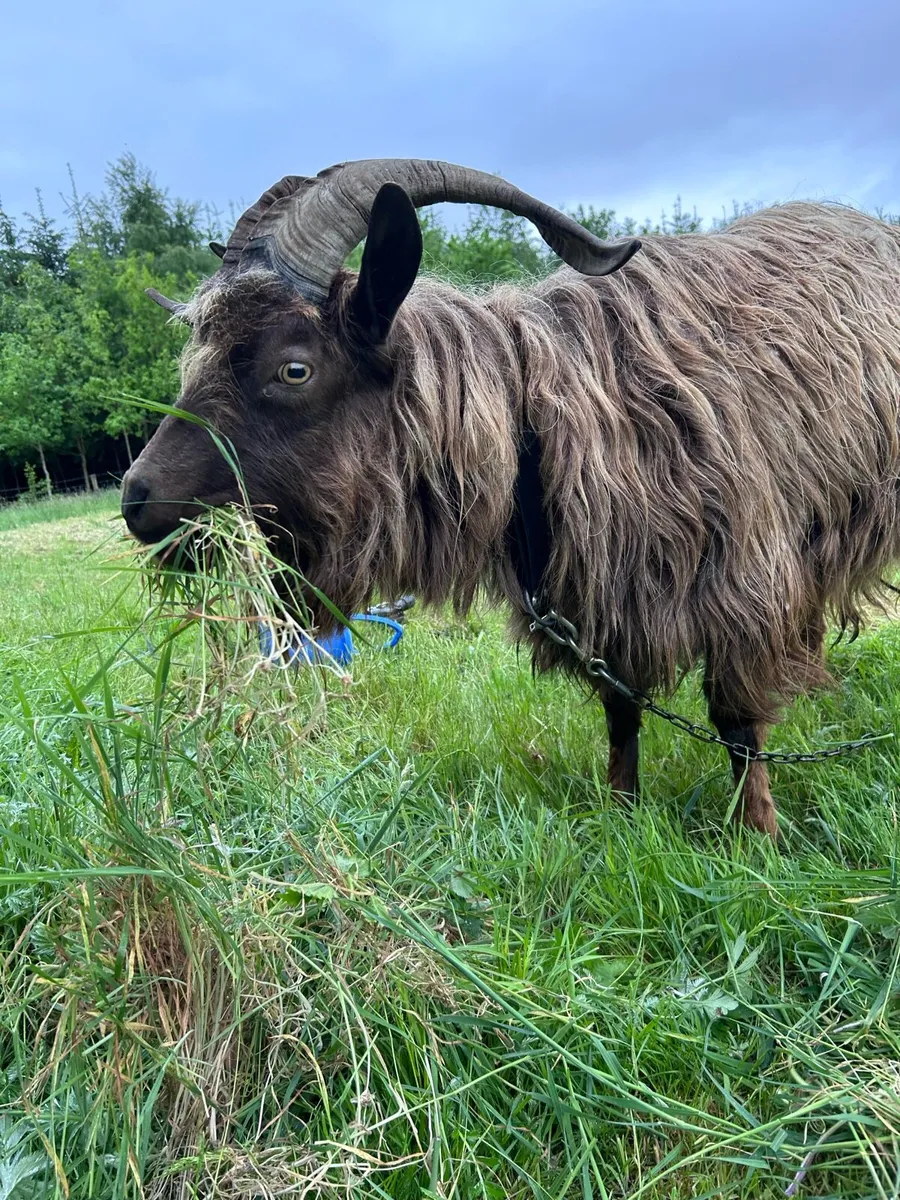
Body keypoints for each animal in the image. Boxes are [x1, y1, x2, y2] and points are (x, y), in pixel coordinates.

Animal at [122, 159, 900, 836]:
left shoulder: (742, 578)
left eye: (294, 368)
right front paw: (622, 818)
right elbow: (621, 714)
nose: (137, 500)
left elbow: (735, 722)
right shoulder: (602, 601)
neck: (537, 417)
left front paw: (755, 839)